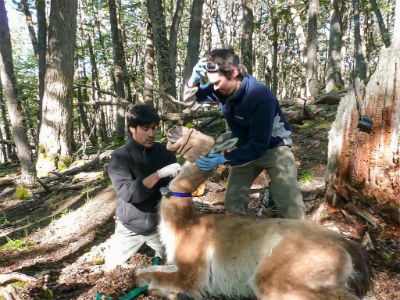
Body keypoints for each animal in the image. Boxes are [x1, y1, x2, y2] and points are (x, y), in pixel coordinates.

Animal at [136, 125, 374, 298]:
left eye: (200, 137)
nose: (173, 127)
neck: (185, 225)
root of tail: (348, 246)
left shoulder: (192, 272)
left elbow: (144, 276)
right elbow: (148, 271)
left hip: (281, 274)